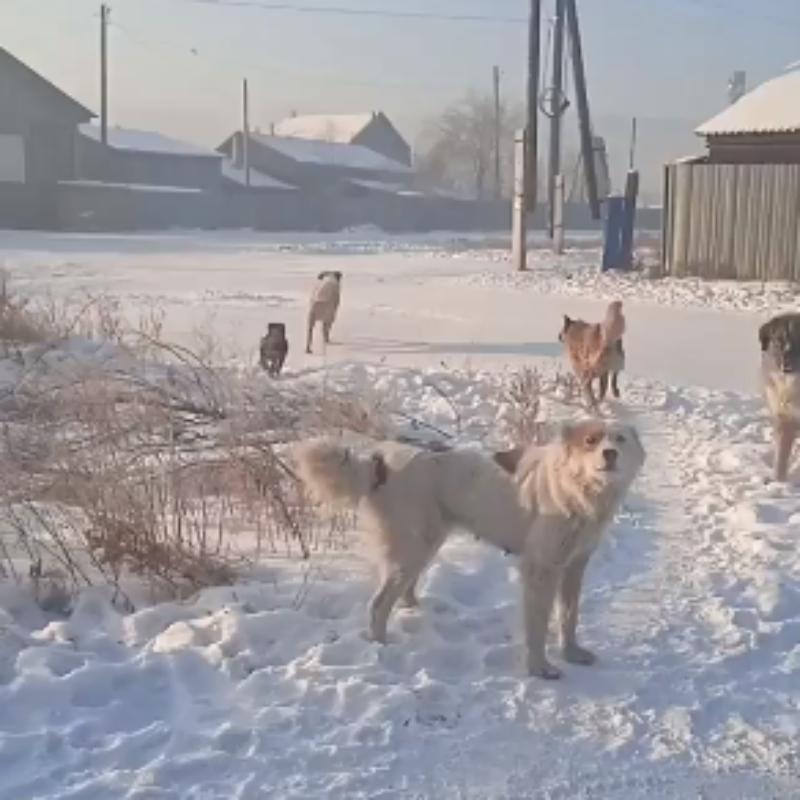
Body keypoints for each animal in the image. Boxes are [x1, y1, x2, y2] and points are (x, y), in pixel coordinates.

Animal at [292, 418, 644, 680]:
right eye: (591, 441)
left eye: (620, 439)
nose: (610, 454)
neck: (574, 485)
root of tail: (379, 460)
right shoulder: (542, 568)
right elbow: (538, 625)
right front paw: (540, 669)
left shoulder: (574, 564)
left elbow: (569, 615)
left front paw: (572, 653)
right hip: (414, 545)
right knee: (379, 604)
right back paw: (381, 648)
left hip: (424, 543)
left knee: (402, 591)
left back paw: (417, 612)